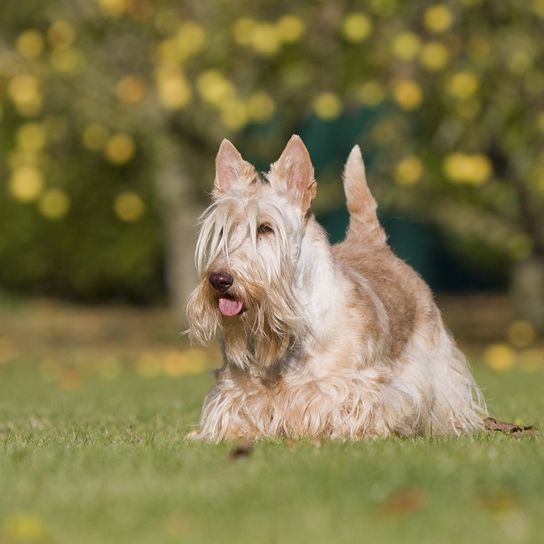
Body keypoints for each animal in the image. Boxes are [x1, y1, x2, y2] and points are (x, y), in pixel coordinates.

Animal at [186, 134, 484, 440]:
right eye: (223, 230)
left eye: (266, 228)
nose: (220, 280)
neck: (293, 328)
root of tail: (372, 243)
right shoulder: (237, 389)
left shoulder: (353, 385)